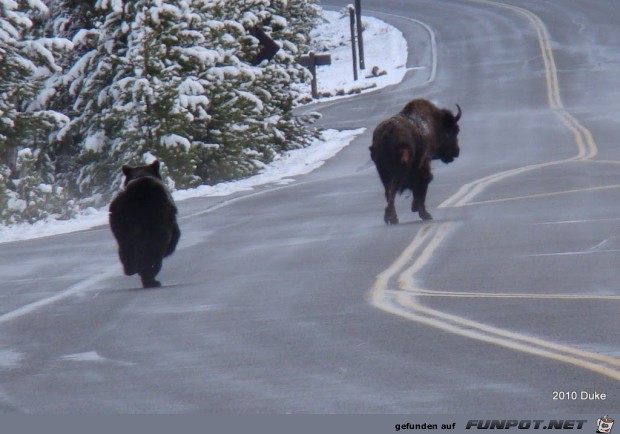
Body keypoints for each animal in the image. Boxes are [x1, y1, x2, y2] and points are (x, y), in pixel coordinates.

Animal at [109, 160, 180, 288]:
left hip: (121, 222)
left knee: (126, 247)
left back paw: (131, 269)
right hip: (157, 223)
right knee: (154, 251)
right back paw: (150, 279)